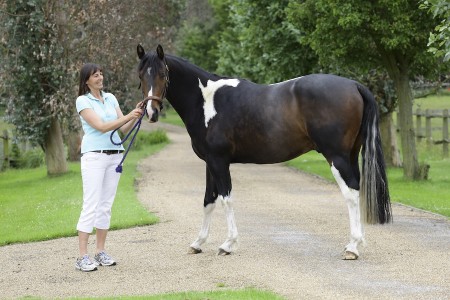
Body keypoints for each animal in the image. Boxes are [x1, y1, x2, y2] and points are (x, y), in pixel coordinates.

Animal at [136, 44, 390, 260]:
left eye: (163, 74)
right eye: (140, 76)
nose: (151, 112)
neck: (206, 101)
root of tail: (354, 85)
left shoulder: (219, 161)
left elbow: (226, 199)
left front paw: (228, 244)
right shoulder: (209, 162)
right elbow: (209, 200)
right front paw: (198, 243)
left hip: (336, 157)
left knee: (351, 193)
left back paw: (352, 248)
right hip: (350, 155)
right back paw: (356, 243)